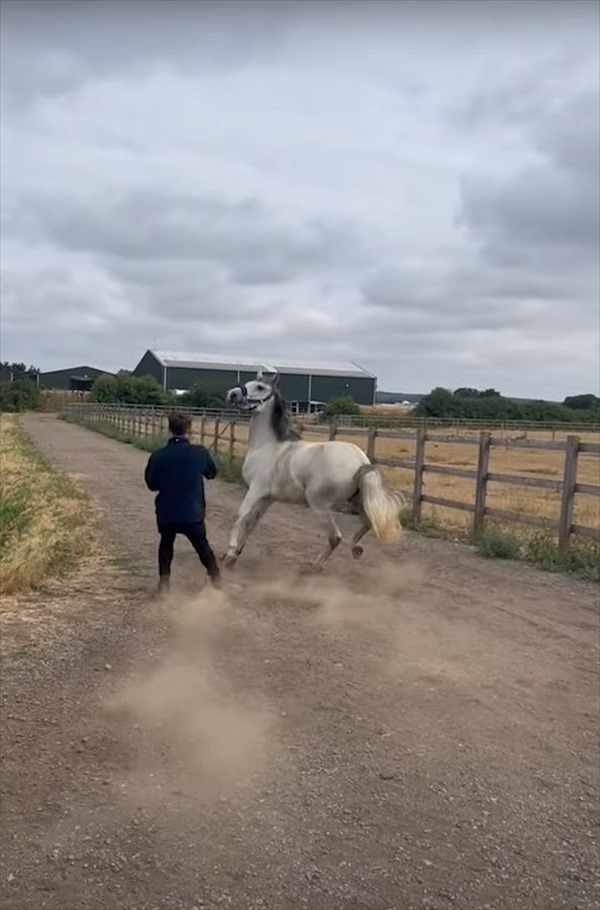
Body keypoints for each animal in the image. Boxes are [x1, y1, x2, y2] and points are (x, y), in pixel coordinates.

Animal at [223, 368, 406, 568]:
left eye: (260, 387)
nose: (232, 394)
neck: (267, 445)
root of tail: (361, 461)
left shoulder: (256, 490)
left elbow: (239, 517)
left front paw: (230, 555)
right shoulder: (267, 497)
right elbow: (251, 522)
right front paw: (236, 553)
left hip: (319, 504)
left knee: (336, 537)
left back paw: (314, 565)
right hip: (358, 500)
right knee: (368, 524)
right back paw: (355, 549)